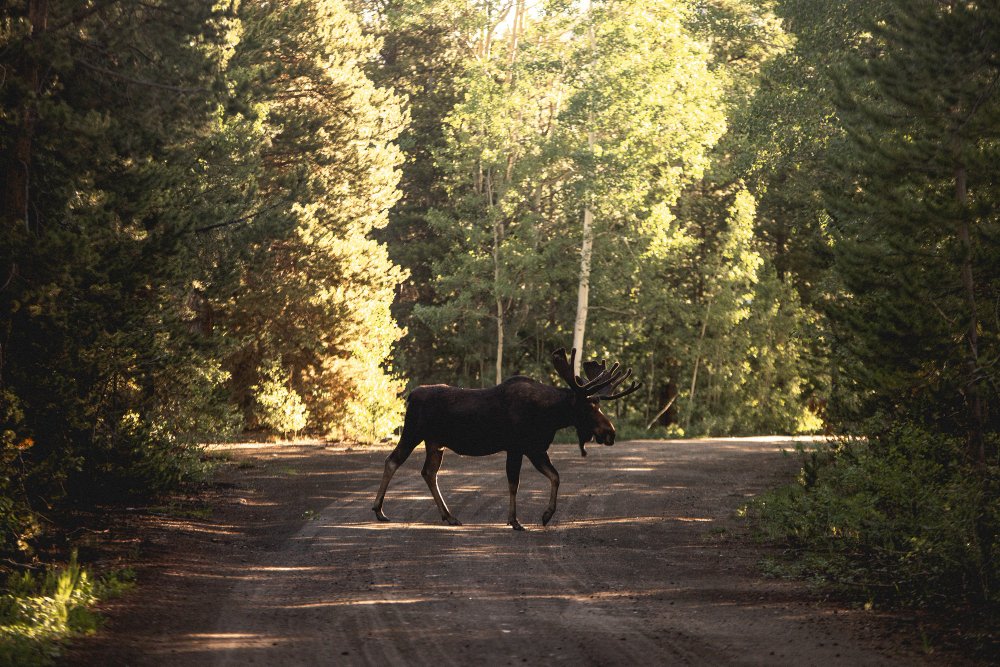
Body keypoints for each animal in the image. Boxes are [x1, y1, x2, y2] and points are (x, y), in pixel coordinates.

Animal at [372, 347, 641, 530]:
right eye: (588, 406)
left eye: (599, 404)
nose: (610, 432)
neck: (549, 416)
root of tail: (411, 396)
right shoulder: (517, 447)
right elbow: (514, 483)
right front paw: (515, 520)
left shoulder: (535, 448)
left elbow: (555, 476)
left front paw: (546, 515)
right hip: (413, 432)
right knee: (392, 461)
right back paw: (379, 510)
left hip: (435, 443)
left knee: (428, 472)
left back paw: (449, 516)